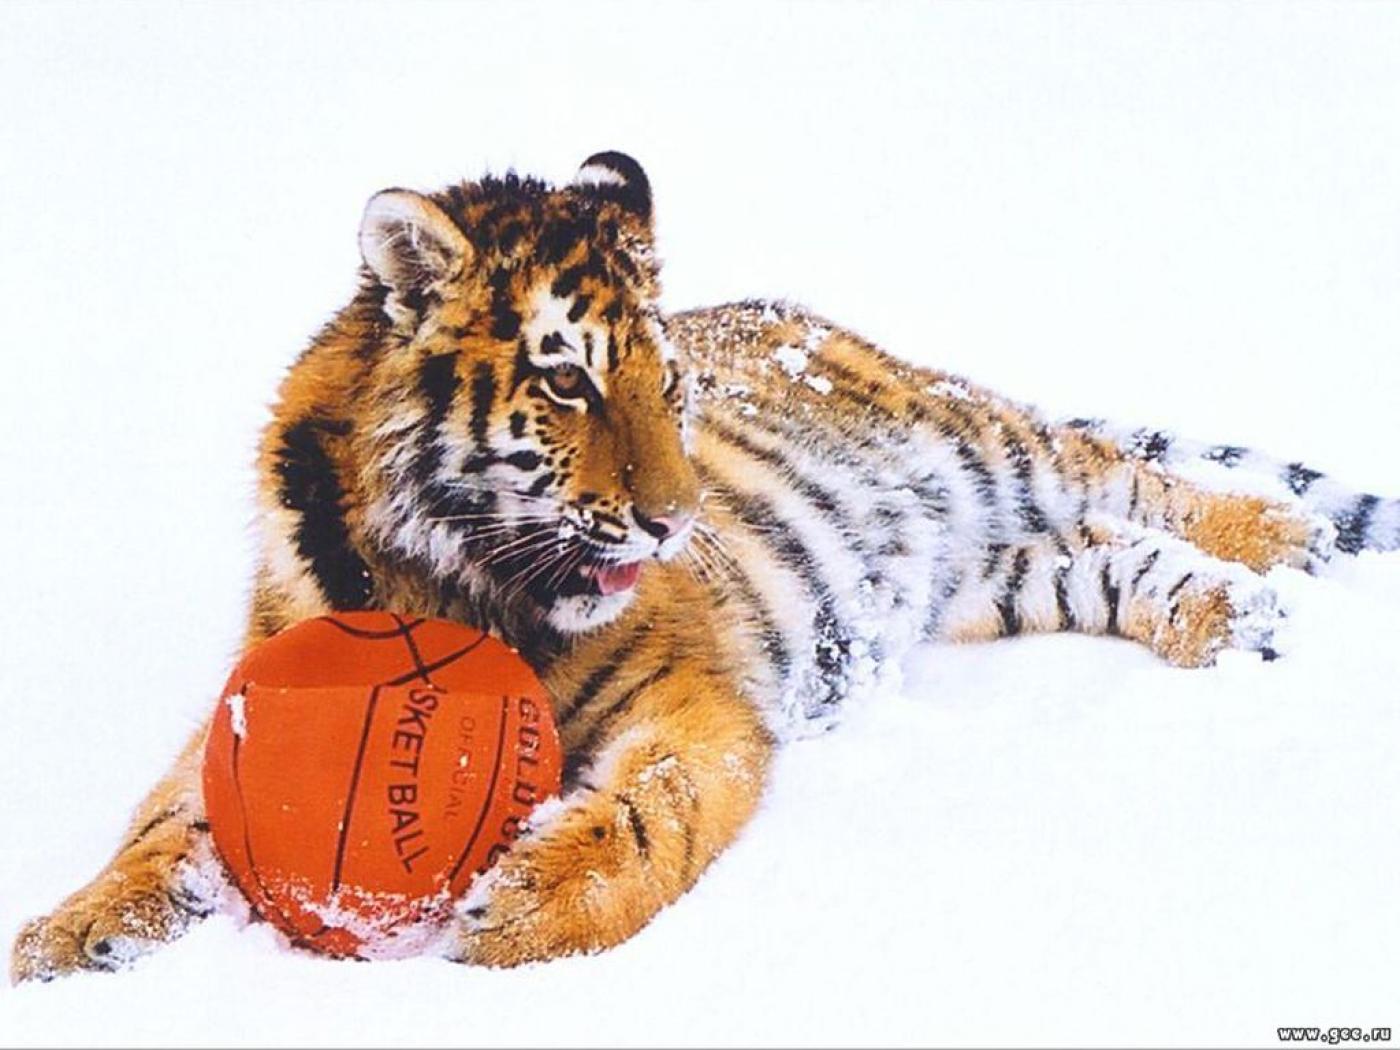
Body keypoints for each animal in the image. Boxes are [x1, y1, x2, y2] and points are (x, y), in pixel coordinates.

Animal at [12, 150, 1398, 981]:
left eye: (667, 388)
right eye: (566, 383)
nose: (675, 525)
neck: (449, 575)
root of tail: (819, 316)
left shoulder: (693, 704)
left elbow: (651, 814)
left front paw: (518, 909)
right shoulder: (251, 706)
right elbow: (161, 831)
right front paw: (64, 942)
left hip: (991, 450)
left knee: (1136, 478)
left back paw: (1285, 550)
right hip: (981, 574)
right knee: (1106, 555)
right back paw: (1230, 616)